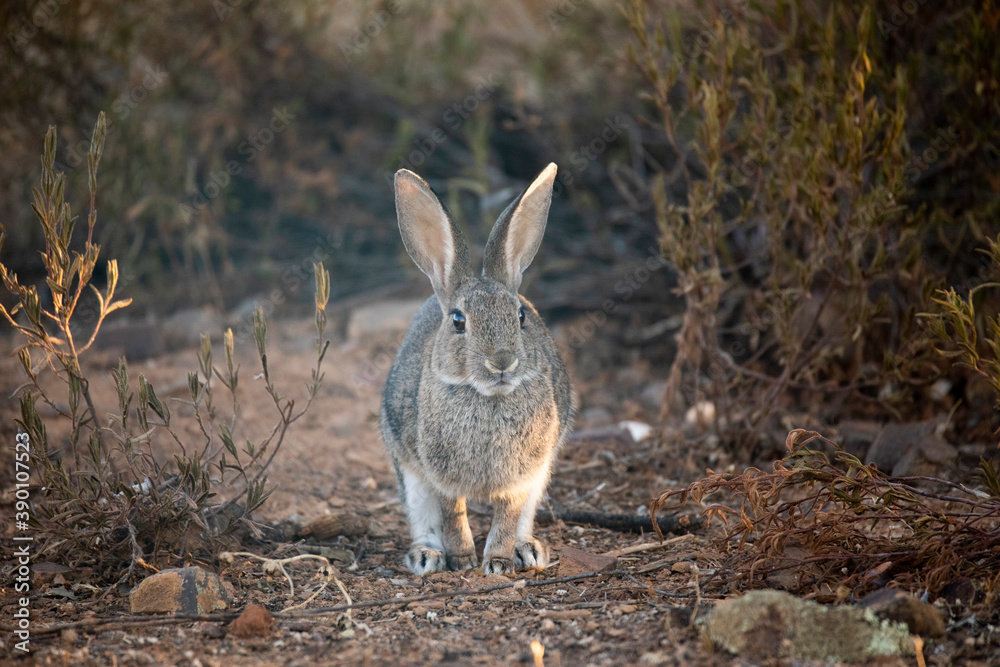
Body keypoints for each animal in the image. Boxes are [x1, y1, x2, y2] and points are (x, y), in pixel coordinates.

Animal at [381, 163, 573, 576]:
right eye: (458, 321)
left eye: (520, 316)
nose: (502, 362)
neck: (488, 397)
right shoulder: (440, 477)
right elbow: (453, 515)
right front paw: (465, 559)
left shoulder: (522, 478)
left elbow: (507, 517)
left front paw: (497, 562)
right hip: (410, 475)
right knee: (423, 519)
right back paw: (427, 556)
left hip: (541, 475)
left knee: (524, 519)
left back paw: (527, 551)